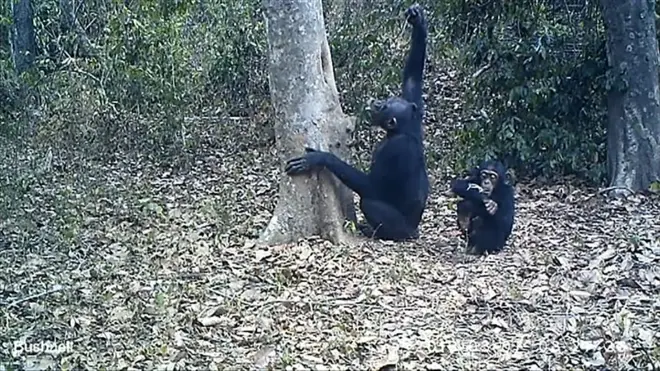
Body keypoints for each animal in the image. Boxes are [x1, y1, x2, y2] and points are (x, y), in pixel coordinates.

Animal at [284, 4, 430, 243]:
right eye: (388, 99)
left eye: (384, 107)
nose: (378, 102)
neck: (400, 131)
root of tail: (415, 231)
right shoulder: (415, 109)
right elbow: (412, 78)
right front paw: (418, 21)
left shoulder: (394, 150)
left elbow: (373, 187)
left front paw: (319, 158)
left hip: (403, 229)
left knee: (369, 202)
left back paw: (379, 232)